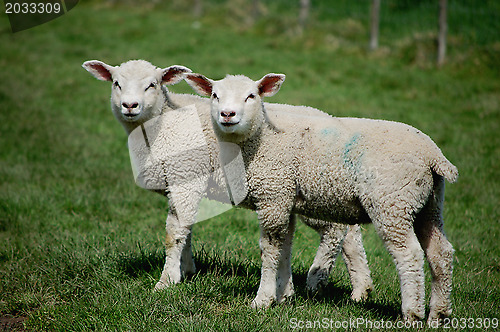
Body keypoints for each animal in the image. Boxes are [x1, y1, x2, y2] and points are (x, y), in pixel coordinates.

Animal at [81, 59, 372, 300]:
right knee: (351, 234)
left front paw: (166, 281)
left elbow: (174, 233)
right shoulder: (183, 182)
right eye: (116, 83)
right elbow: (187, 228)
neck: (163, 124)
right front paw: (187, 270)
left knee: (334, 232)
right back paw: (360, 290)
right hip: (334, 189)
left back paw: (316, 281)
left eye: (152, 84)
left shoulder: (185, 176)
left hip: (315, 189)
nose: (130, 106)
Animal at [186, 71, 458, 322]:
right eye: (214, 95)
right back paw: (438, 314)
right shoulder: (285, 200)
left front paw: (262, 300)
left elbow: (270, 249)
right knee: (440, 253)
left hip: (392, 202)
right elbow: (285, 246)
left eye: (251, 96)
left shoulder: (273, 197)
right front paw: (284, 296)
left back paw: (412, 313)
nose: (227, 115)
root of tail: (433, 155)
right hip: (428, 203)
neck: (261, 139)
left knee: (409, 254)